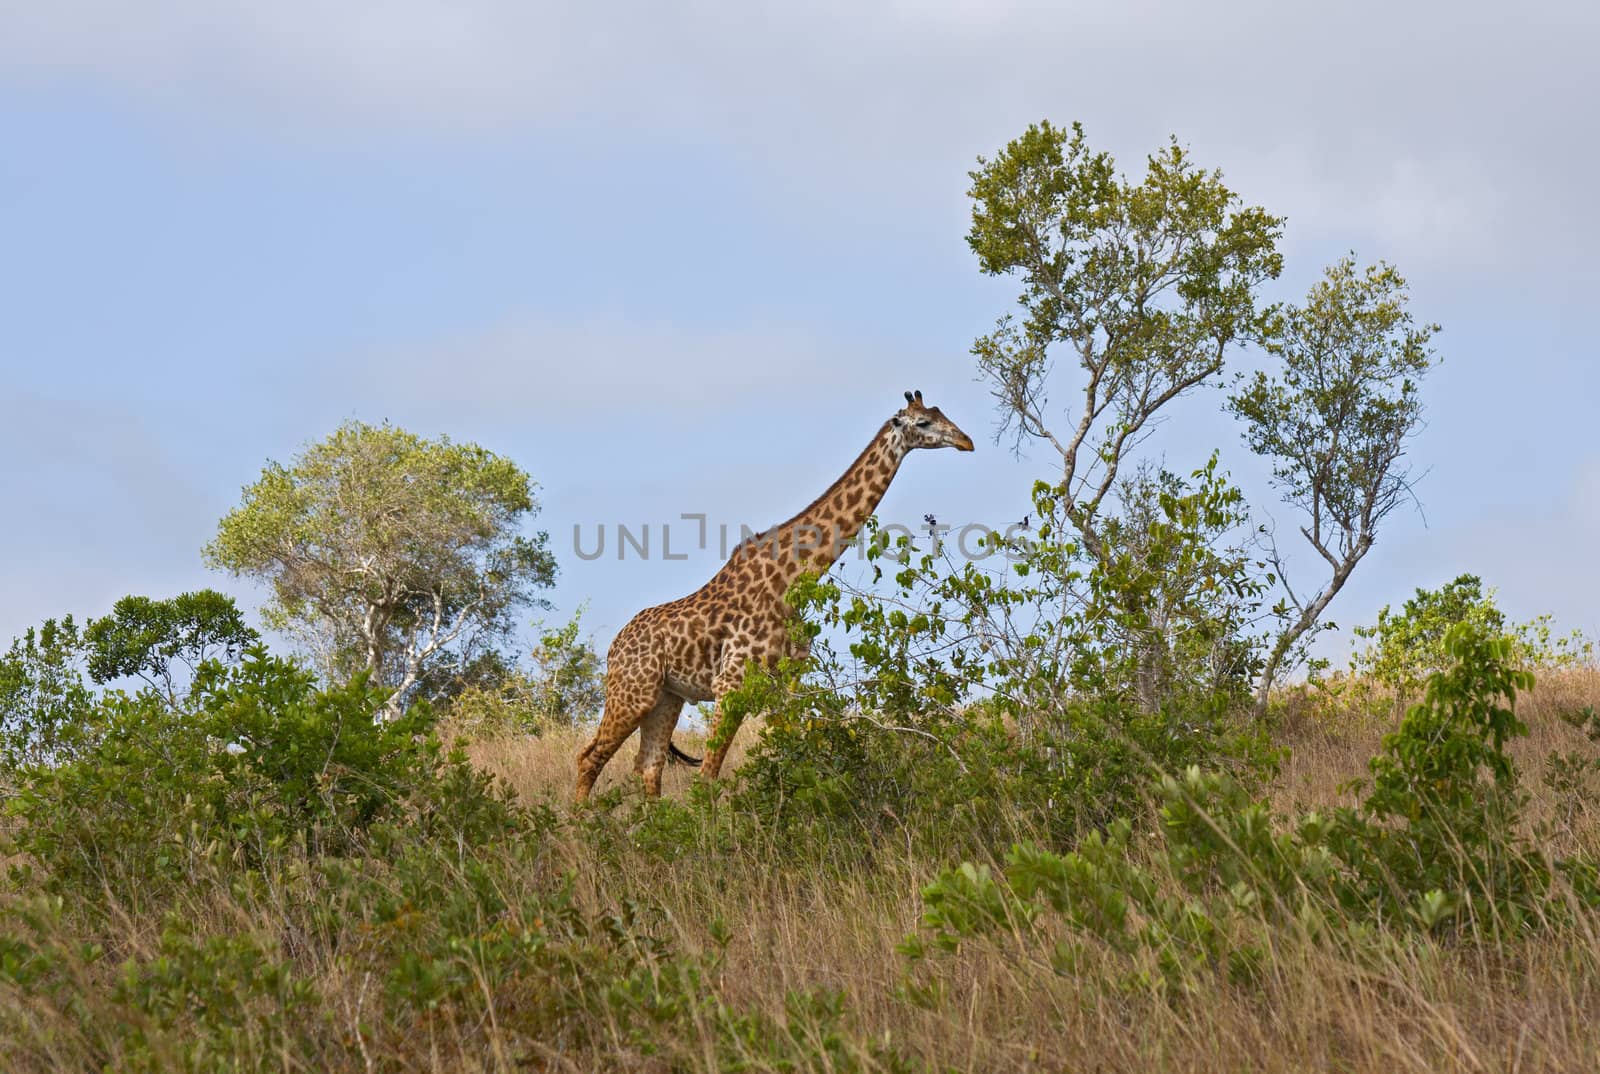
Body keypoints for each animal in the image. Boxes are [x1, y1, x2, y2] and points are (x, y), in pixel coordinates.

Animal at [576, 390, 972, 803]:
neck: (790, 579)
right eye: (923, 423)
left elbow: (789, 757)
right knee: (590, 758)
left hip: (666, 697)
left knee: (648, 766)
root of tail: (613, 649)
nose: (966, 441)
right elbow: (709, 775)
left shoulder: (786, 682)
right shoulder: (730, 682)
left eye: (940, 412)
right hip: (632, 693)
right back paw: (579, 819)